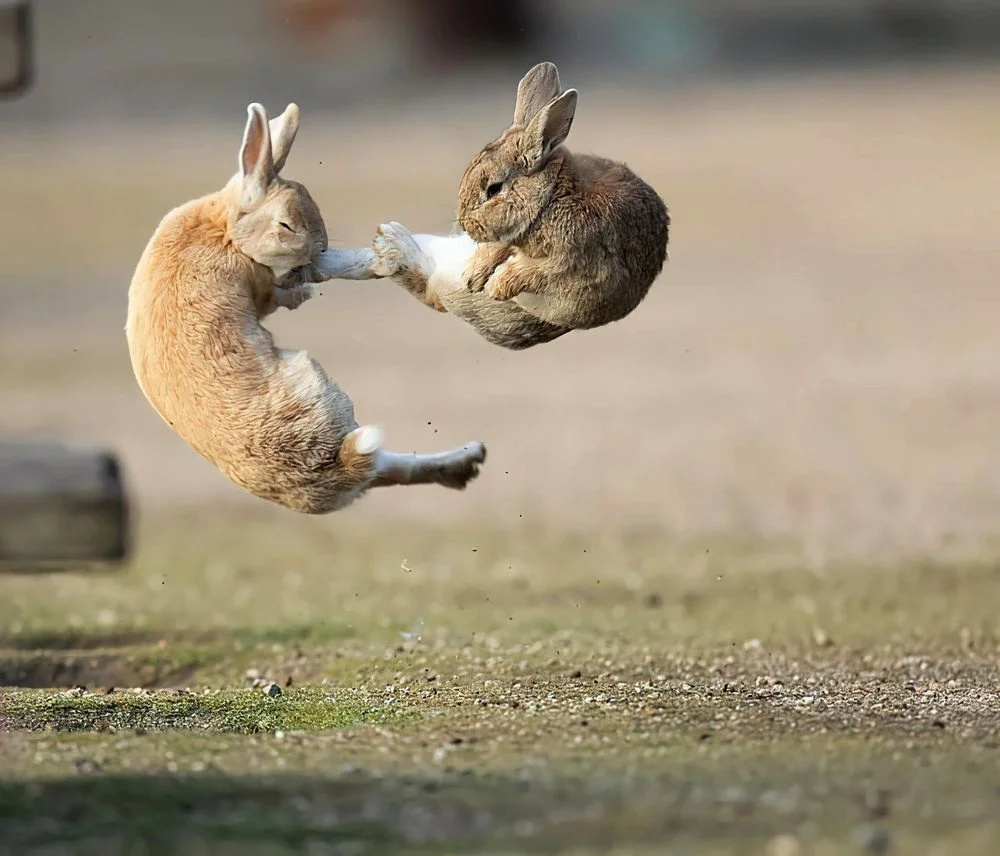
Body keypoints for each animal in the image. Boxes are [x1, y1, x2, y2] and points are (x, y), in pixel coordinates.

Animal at [125, 101, 487, 514]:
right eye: (286, 225)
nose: (320, 247)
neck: (226, 230)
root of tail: (337, 468)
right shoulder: (262, 284)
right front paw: (344, 273)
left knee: (391, 469)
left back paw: (468, 459)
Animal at [370, 61, 670, 351]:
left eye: (493, 189)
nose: (466, 226)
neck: (550, 198)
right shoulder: (510, 237)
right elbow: (499, 249)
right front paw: (475, 275)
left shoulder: (568, 261)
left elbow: (532, 272)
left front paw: (496, 286)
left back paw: (391, 244)